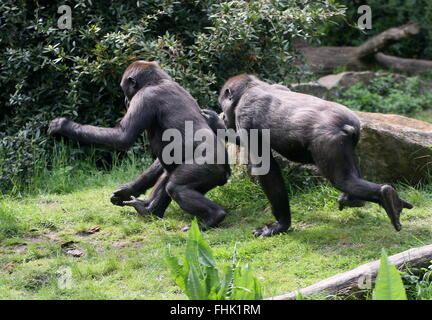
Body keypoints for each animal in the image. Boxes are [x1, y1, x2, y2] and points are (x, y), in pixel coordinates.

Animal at [48, 60, 230, 229]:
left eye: (125, 90)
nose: (125, 100)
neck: (158, 81)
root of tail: (226, 174)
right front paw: (128, 190)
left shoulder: (144, 98)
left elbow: (122, 137)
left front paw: (64, 126)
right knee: (169, 174)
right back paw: (150, 210)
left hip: (209, 168)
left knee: (176, 187)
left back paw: (212, 217)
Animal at [218, 74, 414, 236]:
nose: (224, 119)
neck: (251, 87)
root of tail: (349, 125)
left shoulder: (245, 117)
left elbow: (266, 169)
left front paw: (281, 224)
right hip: (350, 141)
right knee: (350, 177)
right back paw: (357, 199)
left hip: (328, 142)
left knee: (342, 180)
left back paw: (385, 196)